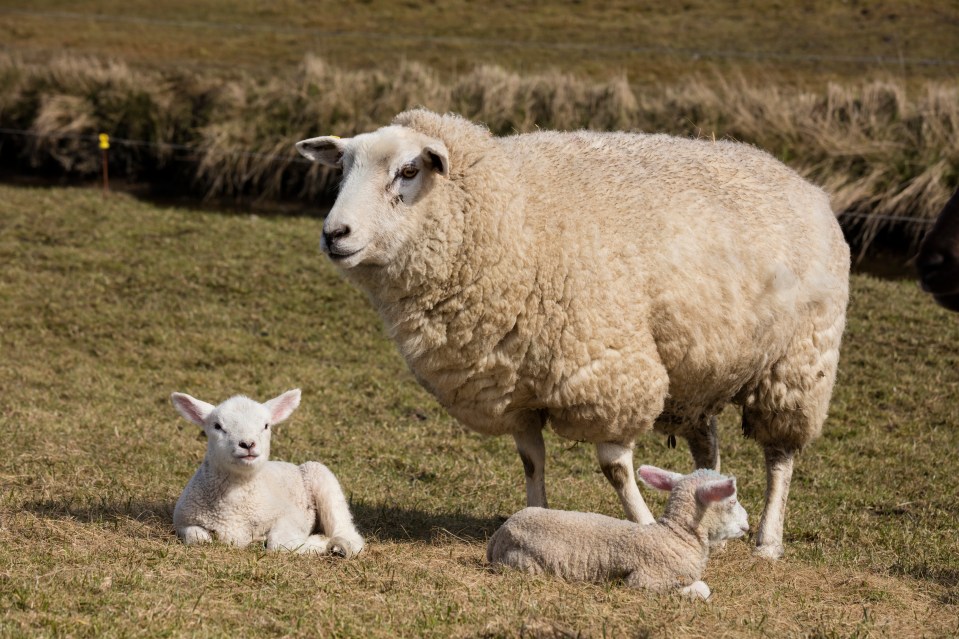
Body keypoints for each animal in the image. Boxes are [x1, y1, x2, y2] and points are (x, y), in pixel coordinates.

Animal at [169, 388, 364, 556]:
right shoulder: (183, 521)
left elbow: (278, 544)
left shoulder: (291, 516)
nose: (247, 444)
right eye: (217, 426)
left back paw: (341, 546)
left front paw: (319, 542)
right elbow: (198, 539)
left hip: (321, 477)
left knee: (345, 529)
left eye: (266, 425)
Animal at [488, 464, 752, 600]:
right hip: (524, 563)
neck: (675, 536)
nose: (747, 524)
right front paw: (694, 591)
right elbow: (702, 588)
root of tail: (499, 534)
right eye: (731, 500)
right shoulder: (645, 580)